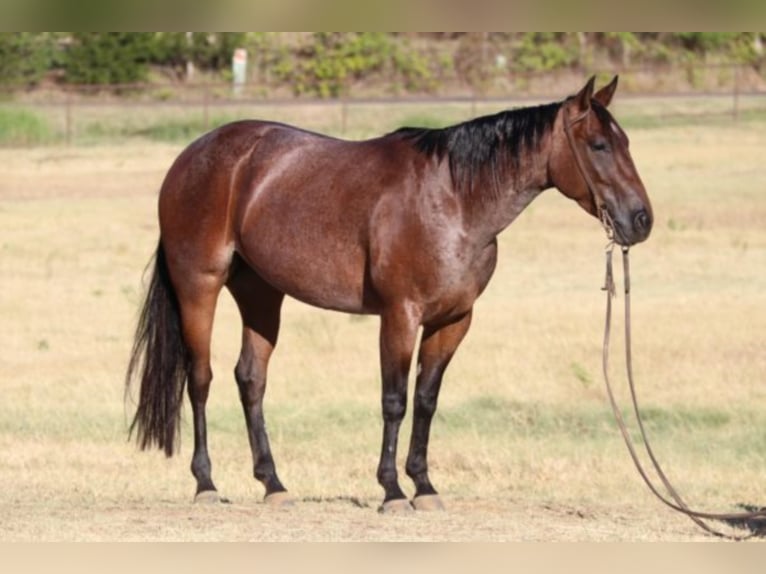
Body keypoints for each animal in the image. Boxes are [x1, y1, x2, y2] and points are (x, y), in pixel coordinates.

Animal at [124, 76, 656, 512]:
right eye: (599, 145)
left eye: (626, 142)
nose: (640, 220)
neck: (454, 200)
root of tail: (194, 156)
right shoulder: (400, 315)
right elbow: (394, 399)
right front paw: (393, 490)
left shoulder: (453, 320)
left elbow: (426, 399)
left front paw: (424, 486)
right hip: (200, 286)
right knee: (200, 379)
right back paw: (206, 484)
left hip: (261, 293)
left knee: (251, 379)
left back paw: (273, 484)